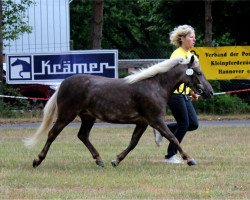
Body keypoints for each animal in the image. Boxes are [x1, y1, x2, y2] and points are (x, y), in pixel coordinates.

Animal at [23, 55, 213, 169]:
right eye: (198, 72)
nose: (209, 92)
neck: (155, 86)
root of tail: (63, 83)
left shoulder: (143, 122)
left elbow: (133, 142)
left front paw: (116, 160)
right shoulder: (155, 120)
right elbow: (172, 137)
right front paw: (189, 159)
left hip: (88, 117)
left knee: (83, 135)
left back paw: (99, 160)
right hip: (66, 115)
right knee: (52, 134)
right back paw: (37, 160)